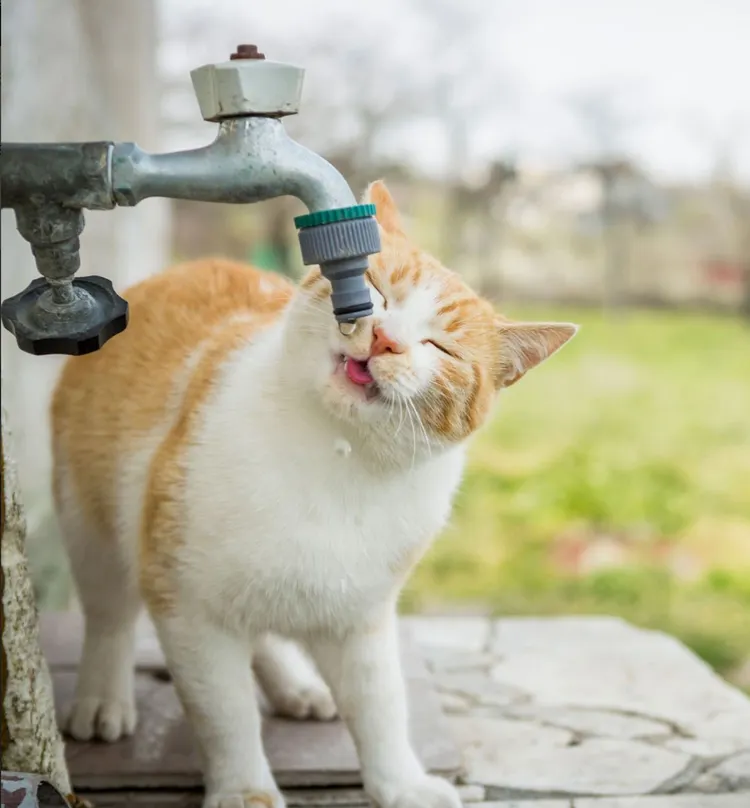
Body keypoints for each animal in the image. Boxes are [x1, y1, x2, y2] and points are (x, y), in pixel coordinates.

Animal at [53, 183, 580, 808]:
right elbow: (225, 712)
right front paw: (244, 791)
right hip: (90, 523)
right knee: (109, 614)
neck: (340, 458)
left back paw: (296, 686)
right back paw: (102, 699)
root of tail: (173, 271)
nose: (385, 338)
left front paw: (400, 784)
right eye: (375, 290)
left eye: (441, 348)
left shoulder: (361, 616)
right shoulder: (187, 602)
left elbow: (380, 705)